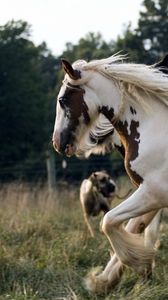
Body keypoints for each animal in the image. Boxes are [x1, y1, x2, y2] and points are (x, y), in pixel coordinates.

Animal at [52, 54, 168, 292]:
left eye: (62, 100)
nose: (57, 142)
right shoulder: (151, 195)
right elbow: (135, 227)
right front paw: (105, 280)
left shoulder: (153, 193)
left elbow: (109, 222)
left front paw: (138, 264)